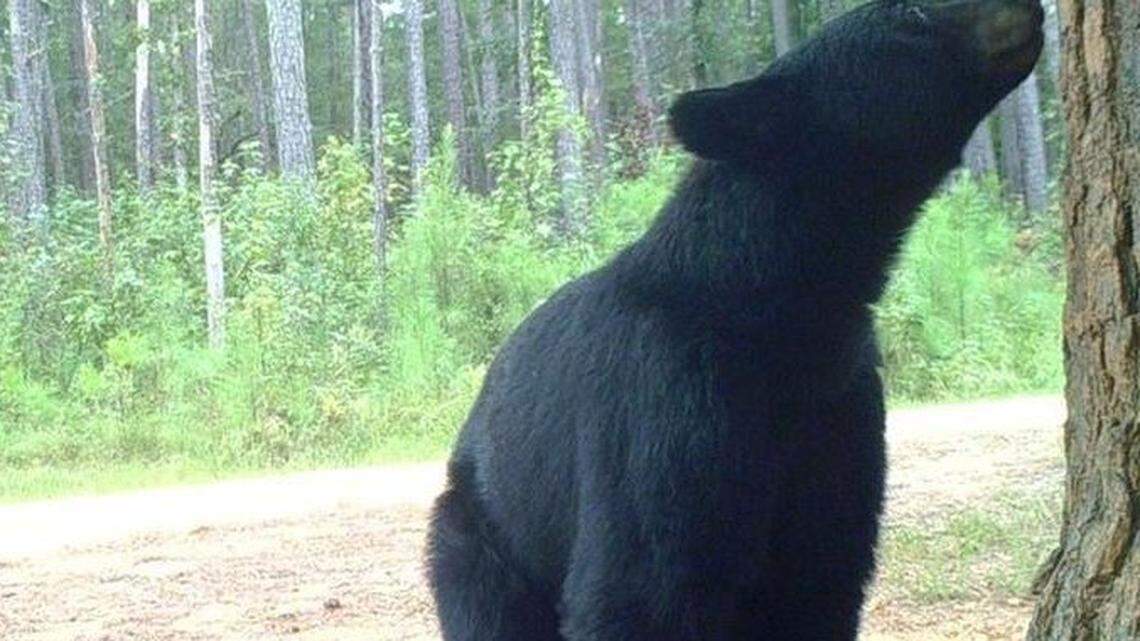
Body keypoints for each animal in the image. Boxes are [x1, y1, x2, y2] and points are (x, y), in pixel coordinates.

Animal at [426, 1, 1043, 639]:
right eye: (914, 17)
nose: (1029, 7)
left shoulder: (838, 411)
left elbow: (821, 576)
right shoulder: (665, 403)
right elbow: (640, 584)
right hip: (485, 538)